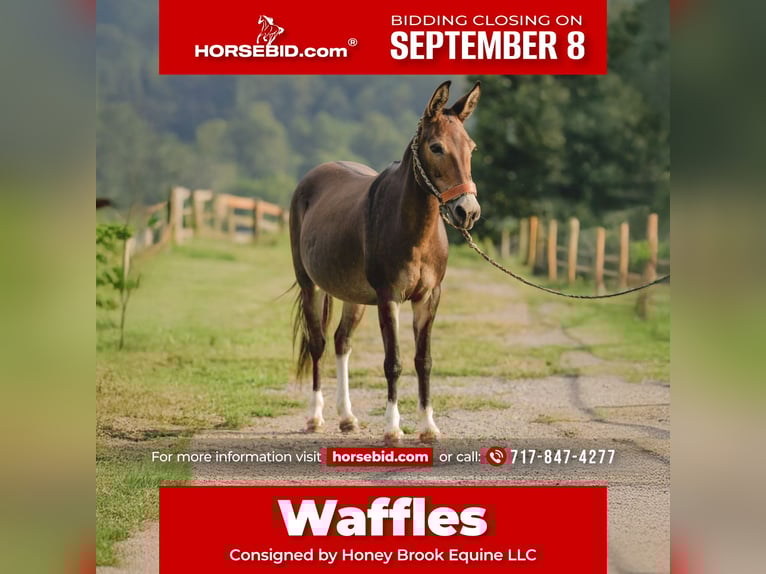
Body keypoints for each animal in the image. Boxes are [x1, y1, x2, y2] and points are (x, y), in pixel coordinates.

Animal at [290, 81, 481, 443]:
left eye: (471, 148)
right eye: (436, 147)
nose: (468, 211)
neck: (411, 228)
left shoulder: (428, 298)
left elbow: (423, 360)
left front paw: (428, 427)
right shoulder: (388, 298)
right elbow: (393, 361)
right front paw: (393, 429)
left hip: (353, 296)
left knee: (342, 342)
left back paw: (347, 418)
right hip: (312, 287)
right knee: (318, 344)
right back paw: (314, 417)